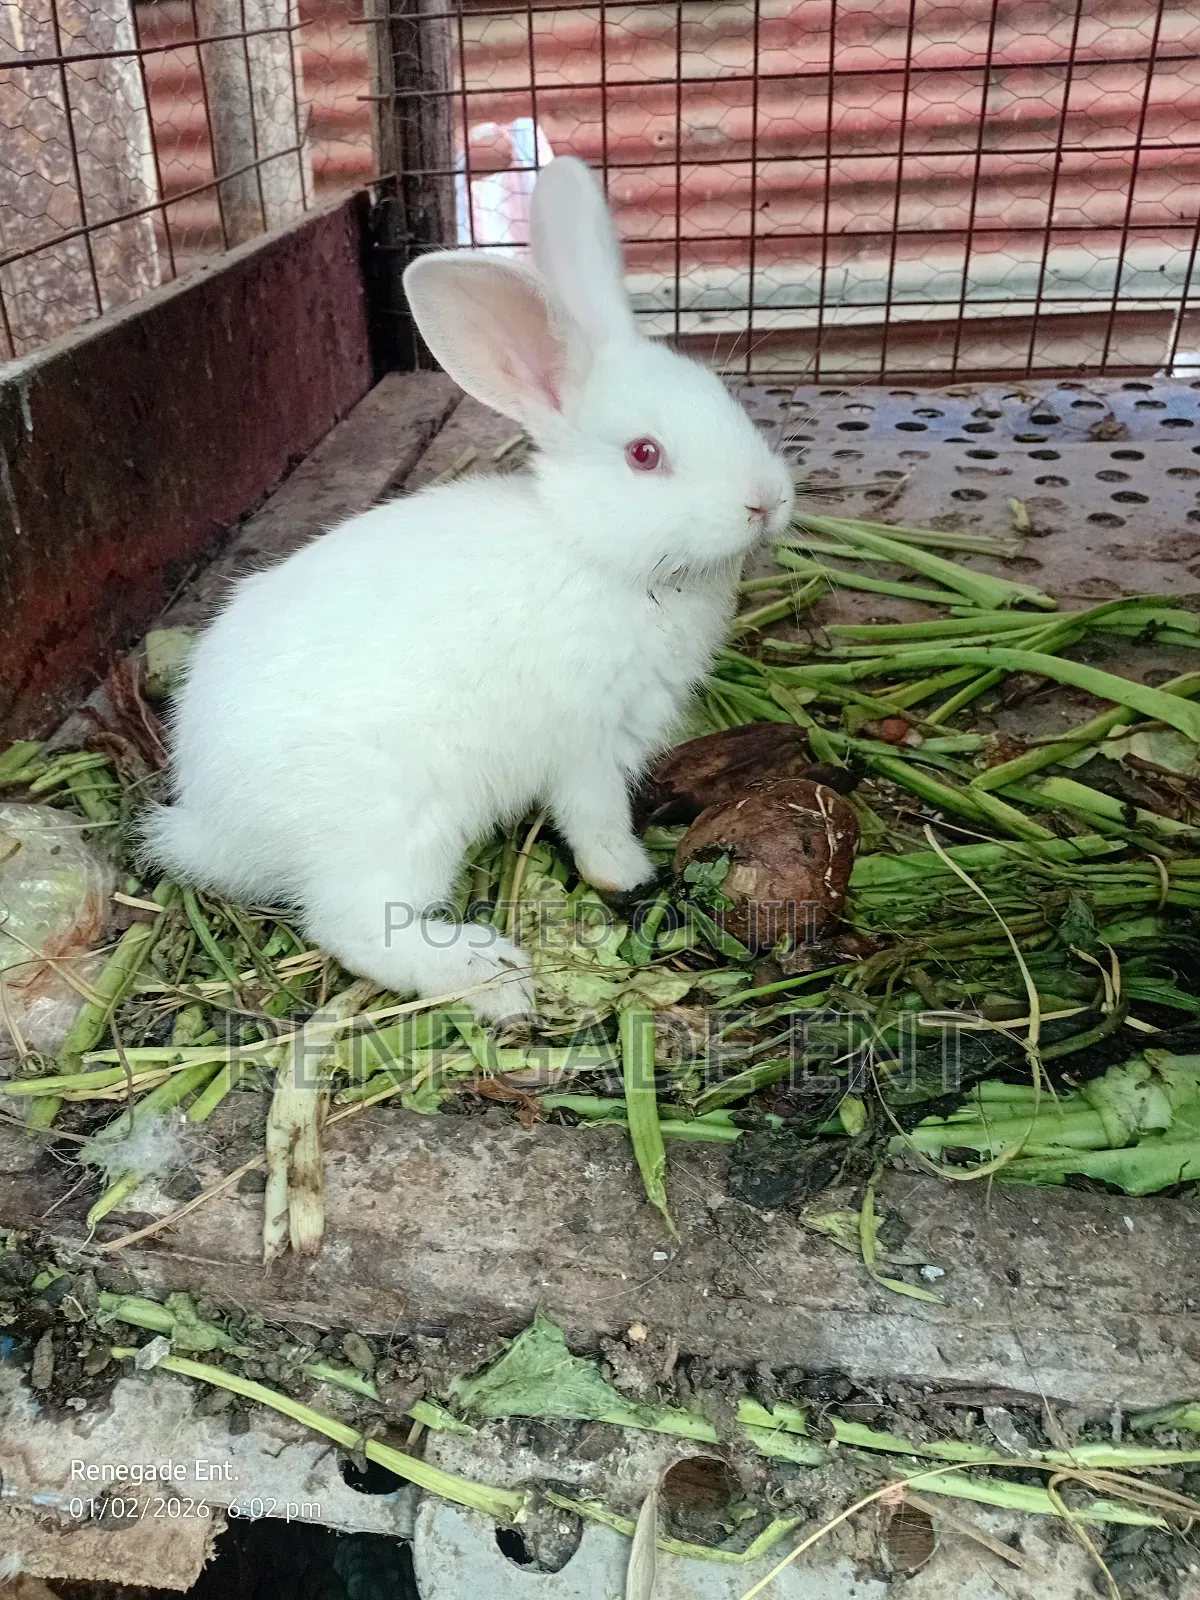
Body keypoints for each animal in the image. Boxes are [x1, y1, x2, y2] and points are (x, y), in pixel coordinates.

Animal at [144, 156, 794, 1024]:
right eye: (645, 454)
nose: (767, 501)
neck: (593, 550)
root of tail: (211, 825)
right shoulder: (586, 744)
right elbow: (594, 820)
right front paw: (629, 872)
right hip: (400, 820)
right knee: (352, 925)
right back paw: (487, 974)